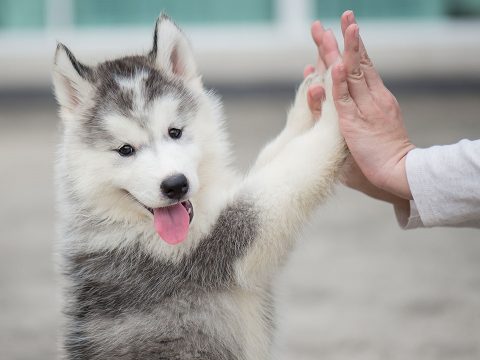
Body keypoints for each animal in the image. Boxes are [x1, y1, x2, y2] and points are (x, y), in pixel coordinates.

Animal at [53, 13, 344, 360]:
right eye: (125, 150)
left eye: (175, 132)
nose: (175, 185)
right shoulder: (224, 242)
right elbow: (292, 169)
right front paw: (340, 104)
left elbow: (277, 154)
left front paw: (310, 101)